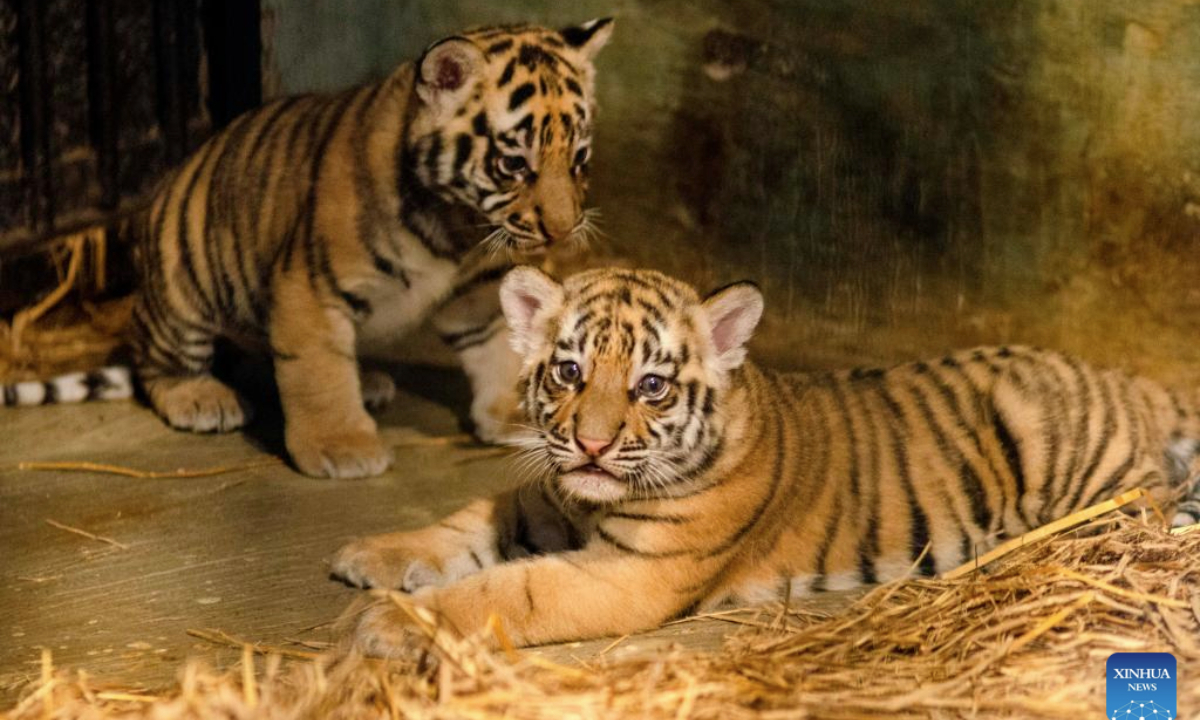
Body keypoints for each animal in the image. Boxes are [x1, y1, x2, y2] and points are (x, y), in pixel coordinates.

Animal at [0, 20, 614, 479]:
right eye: (514, 164)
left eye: (581, 159)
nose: (562, 231)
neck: (455, 224)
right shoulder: (311, 289)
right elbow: (317, 374)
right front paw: (342, 447)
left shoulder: (477, 289)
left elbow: (495, 349)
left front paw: (513, 415)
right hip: (181, 285)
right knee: (163, 361)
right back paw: (200, 398)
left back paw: (368, 383)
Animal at [331, 266, 1200, 654]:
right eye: (569, 372)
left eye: (650, 386)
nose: (592, 444)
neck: (590, 501)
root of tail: (1129, 379)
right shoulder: (540, 499)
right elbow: (462, 524)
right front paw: (369, 554)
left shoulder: (626, 575)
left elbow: (505, 592)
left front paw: (391, 619)